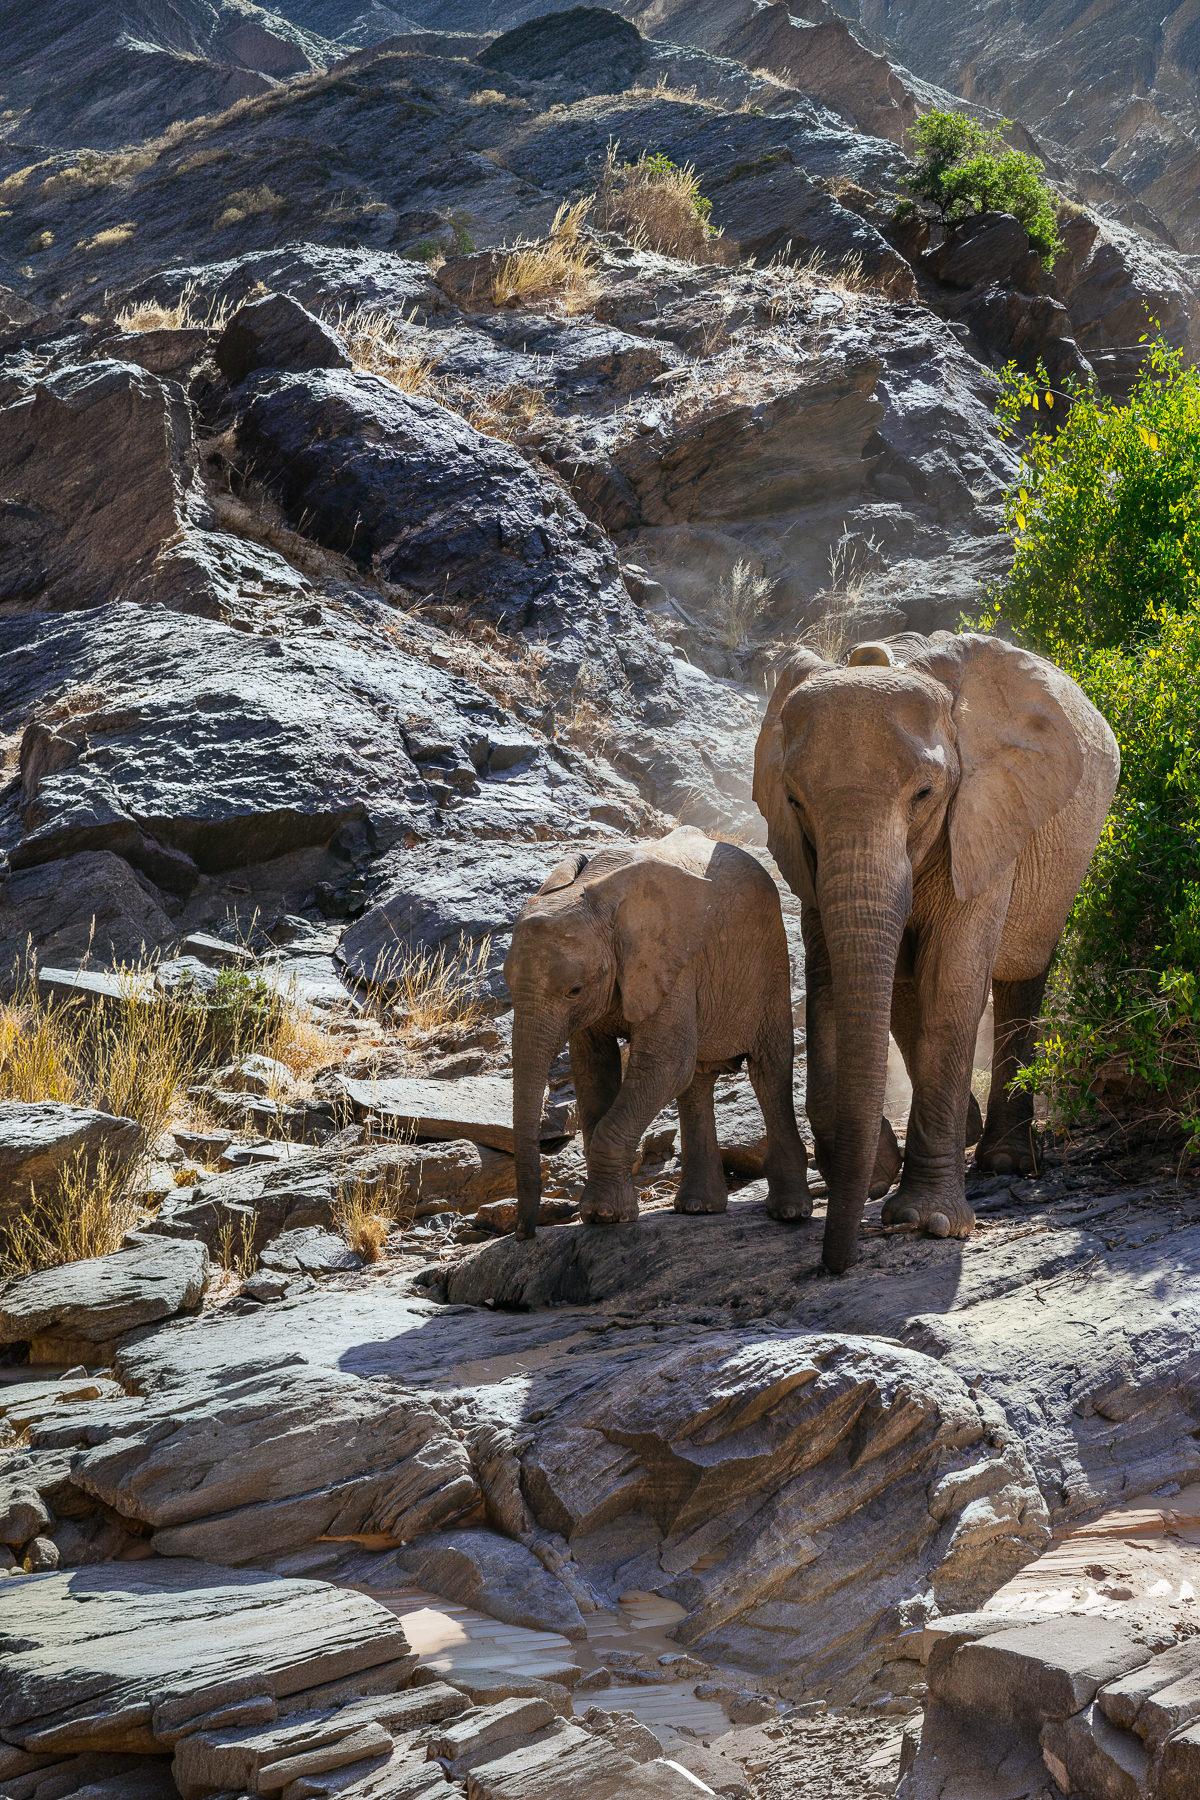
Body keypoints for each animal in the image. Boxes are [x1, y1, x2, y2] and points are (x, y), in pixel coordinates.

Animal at [504, 825, 809, 1239]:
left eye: (575, 990)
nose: (525, 1234)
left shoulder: (675, 963)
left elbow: (664, 1063)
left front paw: (603, 1216)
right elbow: (593, 1069)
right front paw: (604, 1214)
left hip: (769, 962)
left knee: (769, 1069)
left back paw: (790, 1212)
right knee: (697, 1081)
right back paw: (698, 1208)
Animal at [753, 630, 1120, 1274]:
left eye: (925, 793)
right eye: (794, 801)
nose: (834, 1265)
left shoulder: (983, 813)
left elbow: (953, 976)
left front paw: (930, 1222)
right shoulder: (807, 860)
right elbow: (833, 981)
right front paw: (873, 1174)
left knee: (1022, 972)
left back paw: (1005, 1161)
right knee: (903, 988)